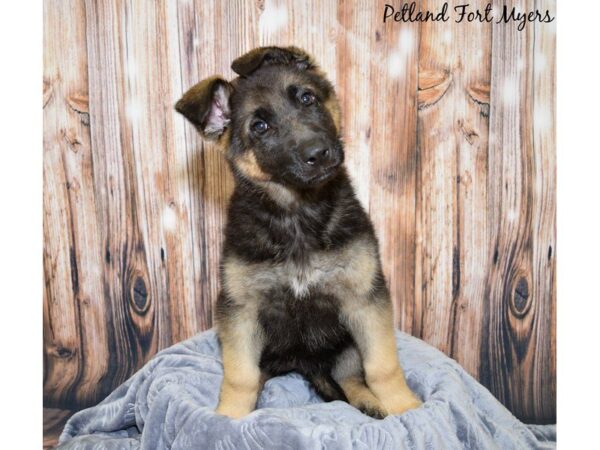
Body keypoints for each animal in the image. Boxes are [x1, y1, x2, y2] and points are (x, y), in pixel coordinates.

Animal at [176, 45, 422, 418]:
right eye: (260, 126)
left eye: (307, 98)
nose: (317, 153)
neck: (297, 214)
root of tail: (304, 364)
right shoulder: (241, 312)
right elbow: (240, 377)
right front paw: (228, 417)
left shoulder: (365, 301)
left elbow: (382, 365)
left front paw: (405, 407)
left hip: (345, 346)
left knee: (350, 376)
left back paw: (368, 402)